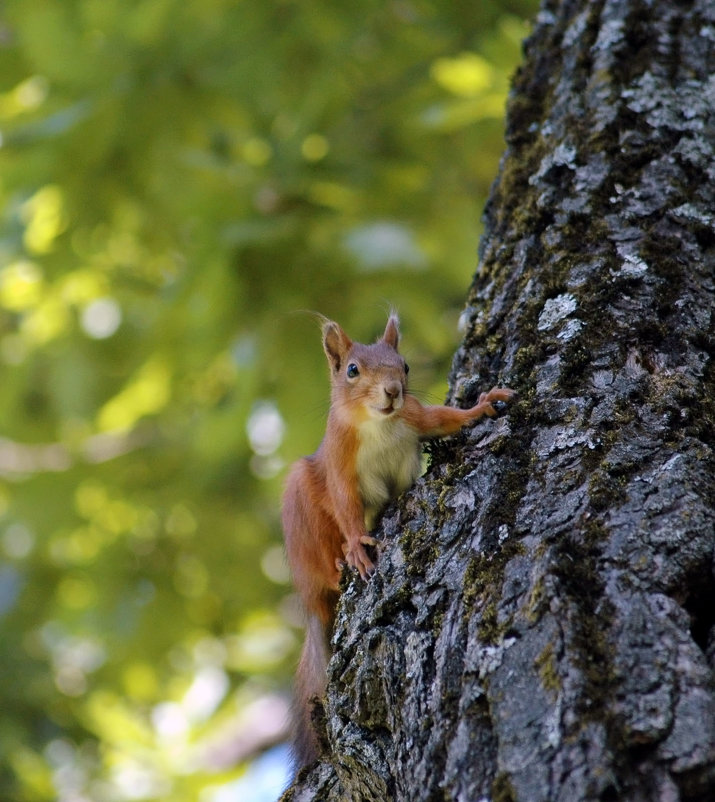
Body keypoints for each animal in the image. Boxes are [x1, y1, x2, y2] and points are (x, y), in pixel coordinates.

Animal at [282, 310, 516, 764]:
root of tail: (311, 602)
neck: (380, 424)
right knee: (324, 565)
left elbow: (446, 419)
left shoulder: (416, 416)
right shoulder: (339, 462)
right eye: (352, 370)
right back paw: (340, 562)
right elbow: (346, 505)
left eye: (404, 366)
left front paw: (481, 406)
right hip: (302, 510)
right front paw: (357, 545)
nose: (392, 392)